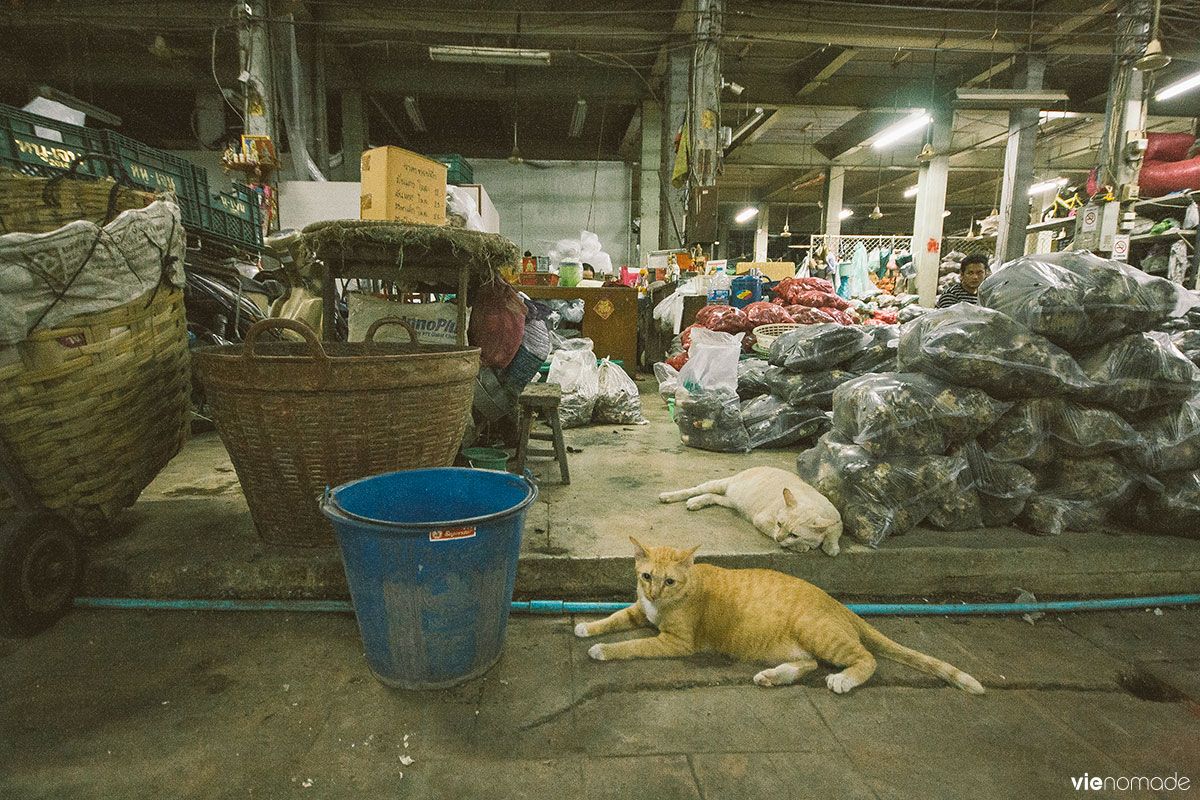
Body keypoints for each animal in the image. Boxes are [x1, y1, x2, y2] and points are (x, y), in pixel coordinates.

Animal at [573, 537, 984, 695]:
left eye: (669, 581)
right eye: (646, 576)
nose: (653, 592)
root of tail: (838, 603)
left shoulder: (675, 643)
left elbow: (632, 645)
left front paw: (603, 650)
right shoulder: (639, 612)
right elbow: (614, 619)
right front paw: (587, 626)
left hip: (819, 633)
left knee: (865, 659)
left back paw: (843, 680)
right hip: (797, 644)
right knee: (810, 663)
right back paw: (775, 676)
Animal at [657, 470, 844, 556]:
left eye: (794, 534)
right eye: (779, 524)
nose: (779, 538)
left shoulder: (837, 518)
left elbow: (834, 531)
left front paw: (831, 547)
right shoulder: (761, 520)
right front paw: (801, 546)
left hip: (730, 501)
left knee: (711, 496)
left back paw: (695, 502)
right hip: (720, 484)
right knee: (695, 489)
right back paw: (668, 496)